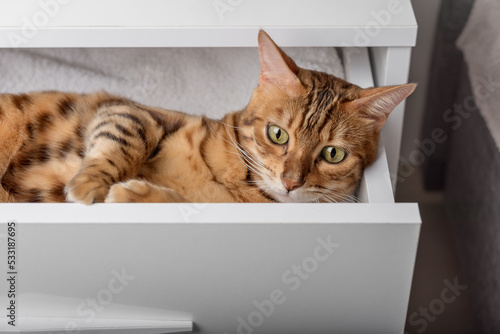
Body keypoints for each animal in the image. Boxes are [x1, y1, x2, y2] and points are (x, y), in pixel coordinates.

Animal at [0, 31, 416, 204]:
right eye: (278, 134)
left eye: (333, 154)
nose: (290, 183)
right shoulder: (133, 112)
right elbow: (122, 143)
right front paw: (90, 183)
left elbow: (182, 204)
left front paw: (138, 194)